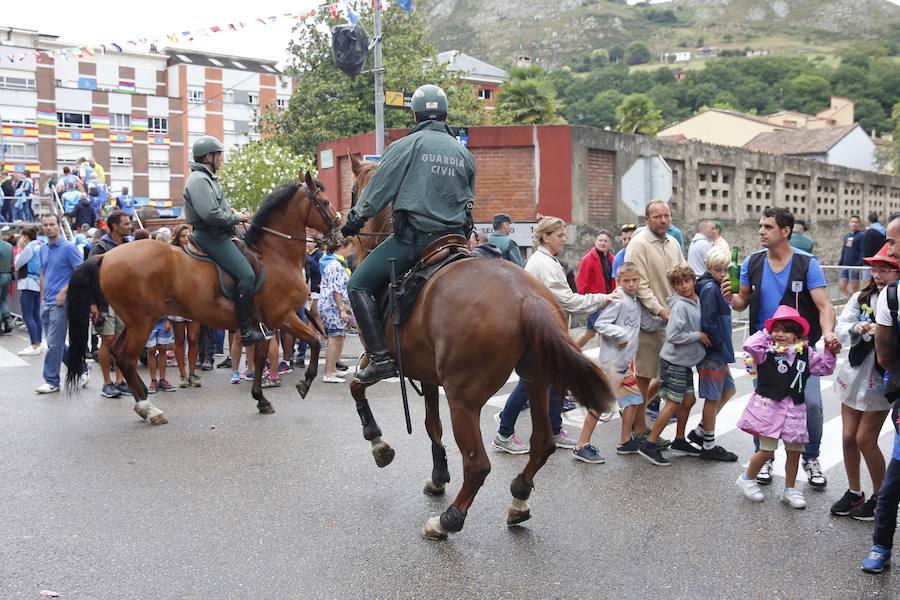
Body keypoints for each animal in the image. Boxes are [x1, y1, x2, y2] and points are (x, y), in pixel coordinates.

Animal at [65, 173, 342, 424]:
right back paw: (149, 408)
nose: (339, 234)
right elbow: (314, 341)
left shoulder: (265, 326)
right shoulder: (283, 317)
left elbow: (261, 357)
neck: (275, 255)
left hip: (133, 322)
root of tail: (106, 256)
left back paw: (143, 401)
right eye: (325, 202)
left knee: (116, 352)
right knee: (126, 358)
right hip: (143, 322)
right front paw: (305, 382)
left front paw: (261, 399)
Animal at [346, 156, 620, 540]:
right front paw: (437, 477)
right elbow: (432, 425)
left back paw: (447, 520)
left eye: (355, 191)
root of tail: (526, 296)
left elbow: (357, 387)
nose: (346, 238)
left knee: (478, 464)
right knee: (543, 444)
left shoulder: (378, 361)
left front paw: (379, 445)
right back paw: (518, 500)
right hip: (536, 380)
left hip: (464, 399)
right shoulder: (427, 375)